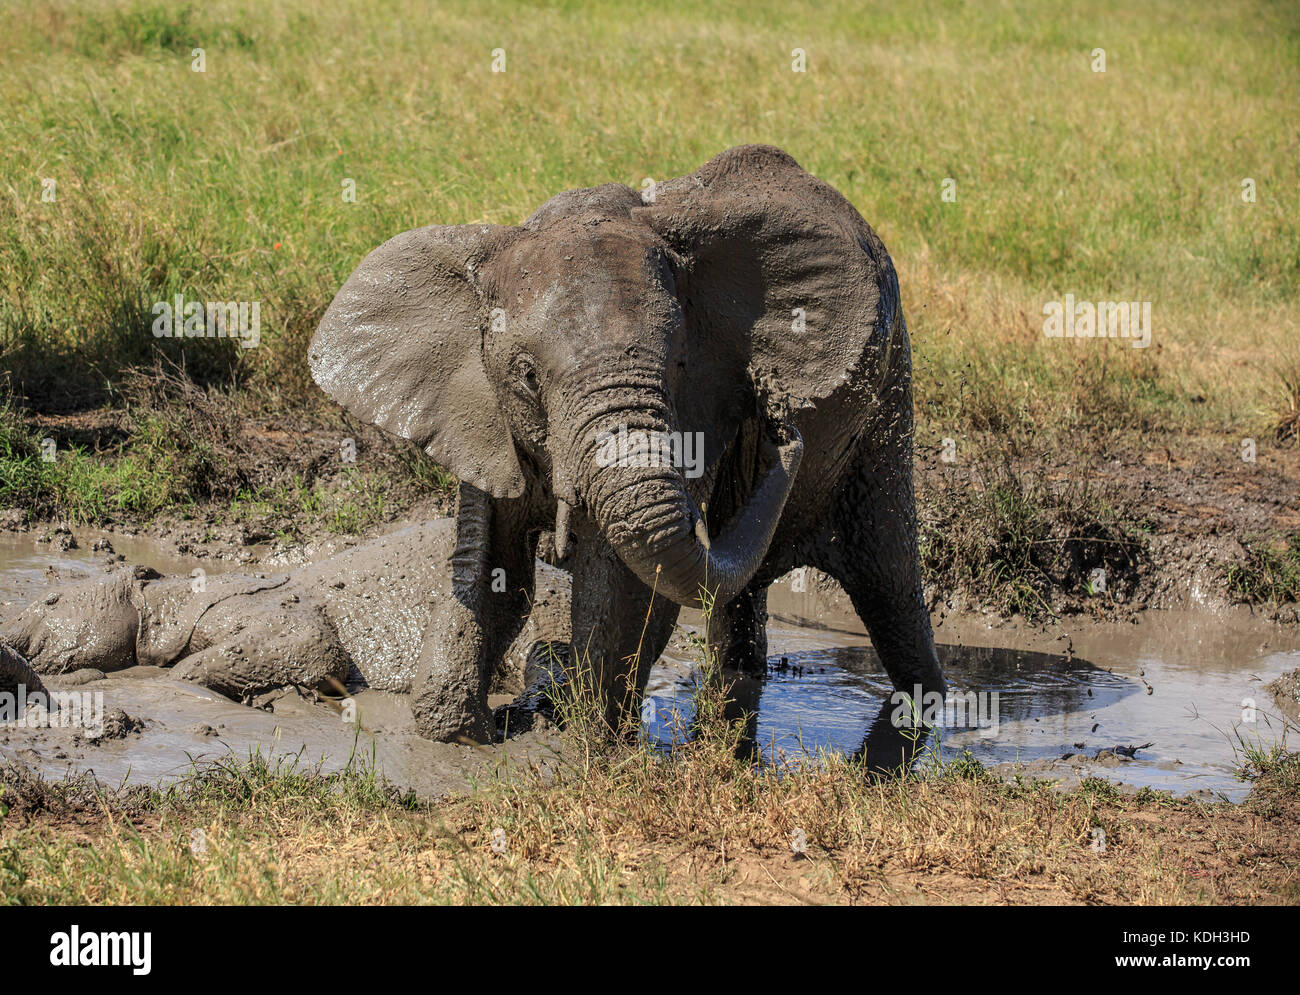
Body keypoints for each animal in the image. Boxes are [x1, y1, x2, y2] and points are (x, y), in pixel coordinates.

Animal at [312, 143, 946, 754]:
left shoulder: (700, 410)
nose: (777, 419)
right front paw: (459, 735)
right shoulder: (482, 417)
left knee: (889, 581)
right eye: (526, 376)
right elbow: (489, 569)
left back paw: (925, 712)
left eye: (680, 362)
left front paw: (588, 747)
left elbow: (625, 586)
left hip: (890, 390)